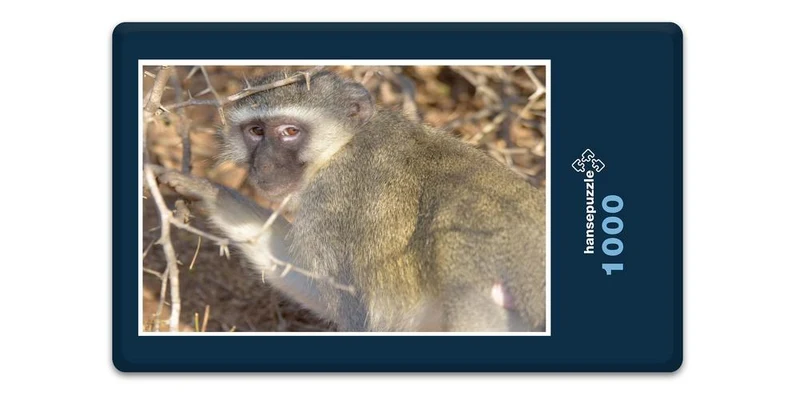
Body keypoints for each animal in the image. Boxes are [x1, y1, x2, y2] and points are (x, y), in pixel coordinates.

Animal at [156, 69, 546, 332]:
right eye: (256, 131)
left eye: (290, 131)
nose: (263, 163)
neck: (341, 147)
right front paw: (207, 191)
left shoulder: (331, 207)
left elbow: (353, 311)